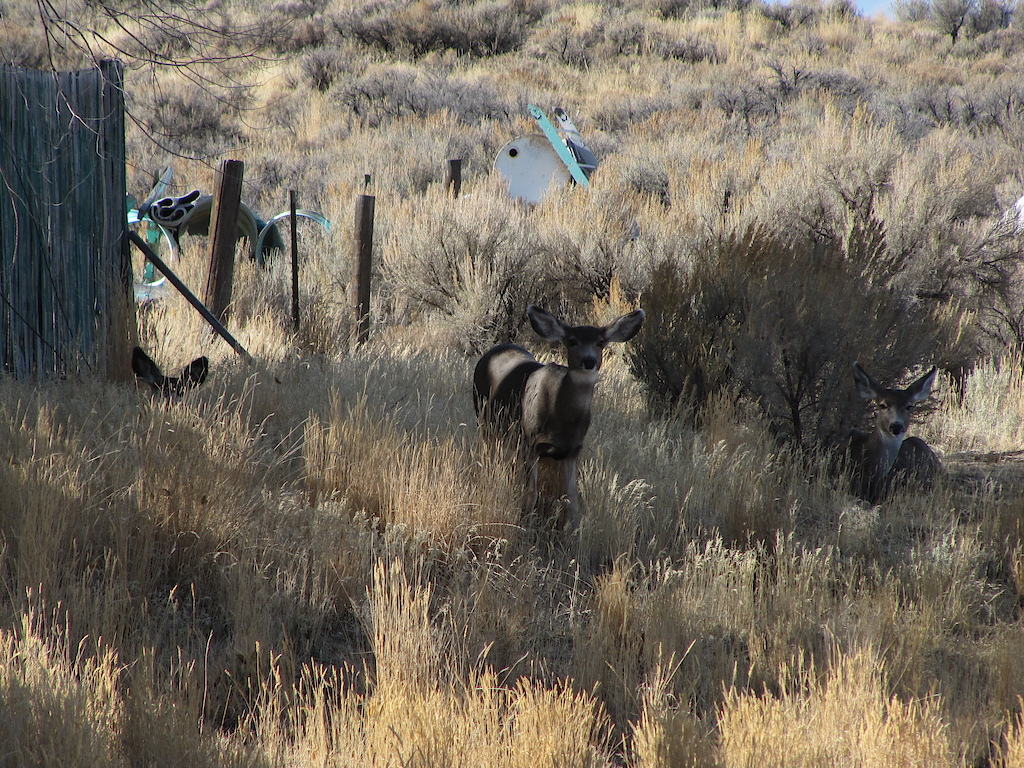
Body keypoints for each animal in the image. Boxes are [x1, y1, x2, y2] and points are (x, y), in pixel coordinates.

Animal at [473, 304, 645, 530]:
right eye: (572, 341)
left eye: (600, 342)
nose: (589, 361)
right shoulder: (531, 442)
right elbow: (531, 494)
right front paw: (524, 528)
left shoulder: (572, 450)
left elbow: (572, 499)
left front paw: (574, 532)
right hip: (484, 417)